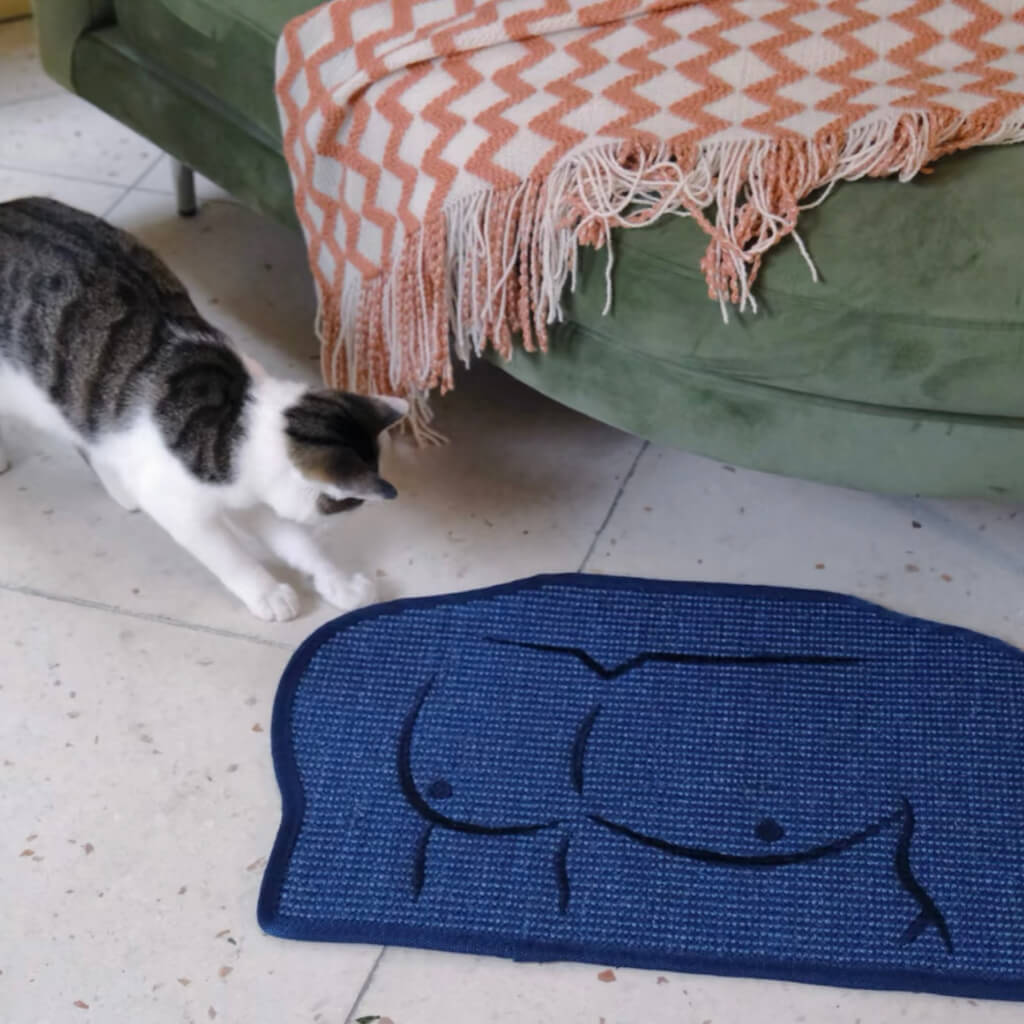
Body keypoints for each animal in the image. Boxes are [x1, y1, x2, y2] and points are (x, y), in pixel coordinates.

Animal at [0, 195, 407, 618]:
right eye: (350, 504)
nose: (337, 524)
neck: (237, 419)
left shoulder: (253, 494)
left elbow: (294, 541)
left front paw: (337, 581)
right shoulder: (178, 506)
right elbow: (228, 555)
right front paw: (266, 592)